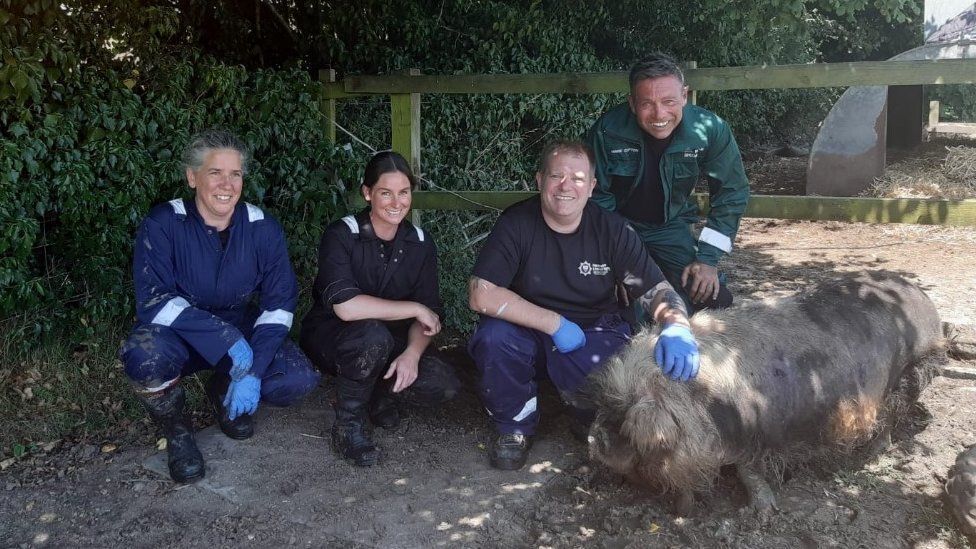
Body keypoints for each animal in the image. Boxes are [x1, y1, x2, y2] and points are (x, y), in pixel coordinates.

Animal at [588, 272, 944, 512]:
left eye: (627, 421)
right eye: (610, 404)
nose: (595, 436)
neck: (702, 406)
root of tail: (927, 303)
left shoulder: (761, 436)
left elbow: (750, 472)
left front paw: (762, 513)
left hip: (913, 369)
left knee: (891, 416)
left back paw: (871, 453)